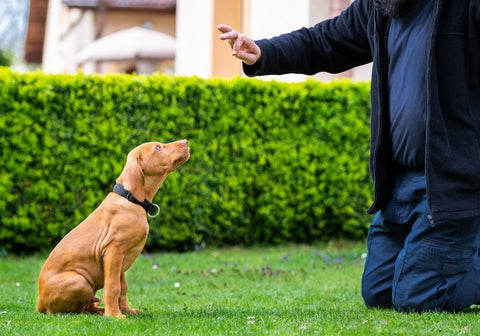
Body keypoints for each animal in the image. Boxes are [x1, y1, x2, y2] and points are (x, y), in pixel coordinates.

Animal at [37, 140, 189, 318]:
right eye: (157, 147)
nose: (186, 141)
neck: (130, 198)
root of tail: (39, 303)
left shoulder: (122, 258)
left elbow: (122, 288)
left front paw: (126, 310)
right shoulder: (113, 252)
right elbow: (112, 287)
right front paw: (115, 315)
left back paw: (100, 309)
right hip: (80, 281)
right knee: (72, 311)